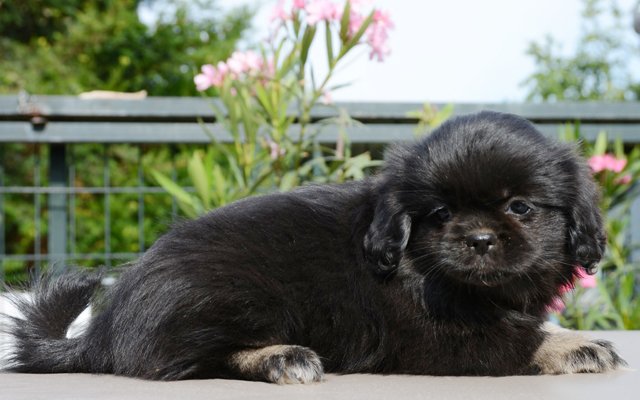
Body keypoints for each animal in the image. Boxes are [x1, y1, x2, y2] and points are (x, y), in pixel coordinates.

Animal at [3, 111, 624, 382]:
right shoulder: (436, 340)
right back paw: (281, 356)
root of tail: (103, 330)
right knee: (191, 359)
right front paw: (575, 347)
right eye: (441, 215)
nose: (478, 238)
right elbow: (520, 341)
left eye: (520, 207)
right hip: (237, 293)